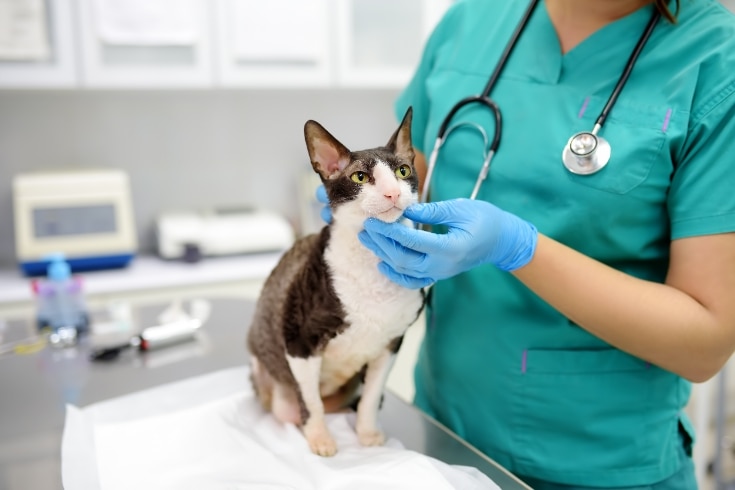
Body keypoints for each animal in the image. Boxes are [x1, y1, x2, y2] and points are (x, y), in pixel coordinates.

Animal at [246, 107, 426, 456]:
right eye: (360, 178)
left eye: (403, 170)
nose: (394, 192)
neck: (371, 265)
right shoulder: (299, 341)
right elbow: (311, 402)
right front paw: (320, 438)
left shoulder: (391, 344)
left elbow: (371, 396)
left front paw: (367, 433)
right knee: (296, 406)